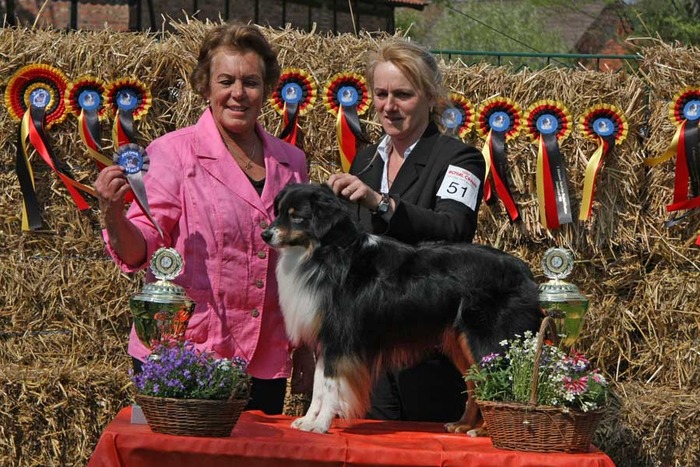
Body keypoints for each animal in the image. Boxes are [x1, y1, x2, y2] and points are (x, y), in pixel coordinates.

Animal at [262, 183, 540, 436]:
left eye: (297, 216)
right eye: (279, 211)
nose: (265, 234)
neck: (325, 252)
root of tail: (525, 271)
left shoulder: (339, 339)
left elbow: (331, 387)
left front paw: (320, 425)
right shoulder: (325, 340)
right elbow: (319, 386)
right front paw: (309, 421)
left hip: (489, 341)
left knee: (497, 382)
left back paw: (483, 430)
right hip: (462, 343)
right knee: (475, 384)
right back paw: (464, 425)